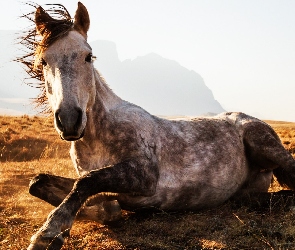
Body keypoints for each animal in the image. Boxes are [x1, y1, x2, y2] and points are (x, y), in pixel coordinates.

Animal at [17, 2, 295, 250]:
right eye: (44, 61)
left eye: (88, 56)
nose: (69, 120)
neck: (99, 136)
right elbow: (41, 182)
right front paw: (96, 214)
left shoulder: (144, 175)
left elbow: (86, 182)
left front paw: (48, 233)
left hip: (265, 144)